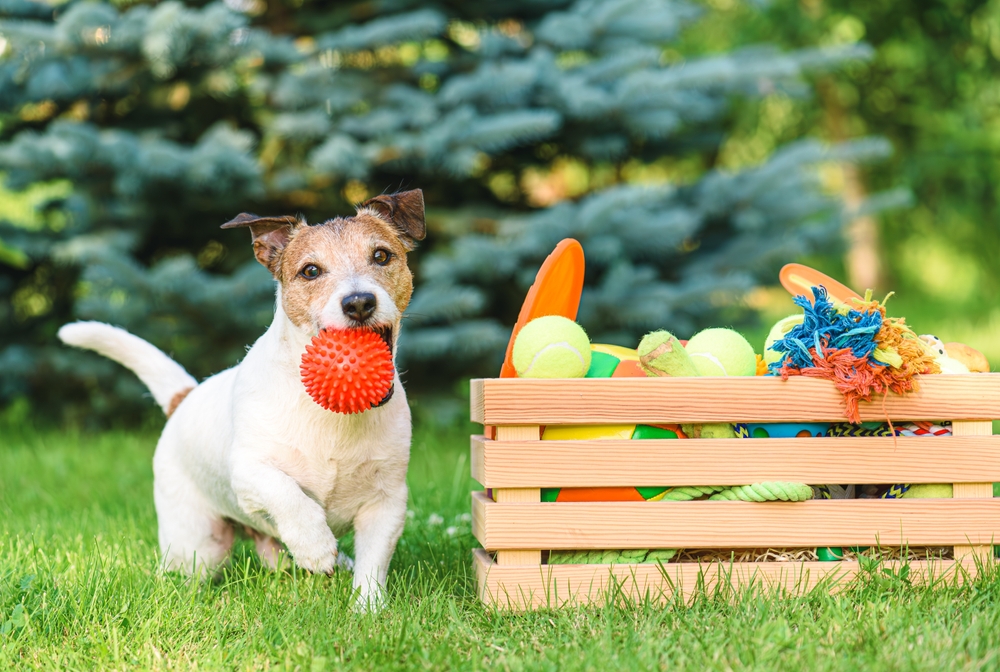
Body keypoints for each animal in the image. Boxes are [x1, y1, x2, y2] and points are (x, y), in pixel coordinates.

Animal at [58, 189, 426, 608]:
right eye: (310, 271)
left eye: (381, 255)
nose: (360, 302)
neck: (332, 414)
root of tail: (185, 398)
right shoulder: (248, 472)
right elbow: (286, 492)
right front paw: (315, 546)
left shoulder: (387, 503)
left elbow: (373, 565)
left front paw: (368, 610)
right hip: (198, 544)